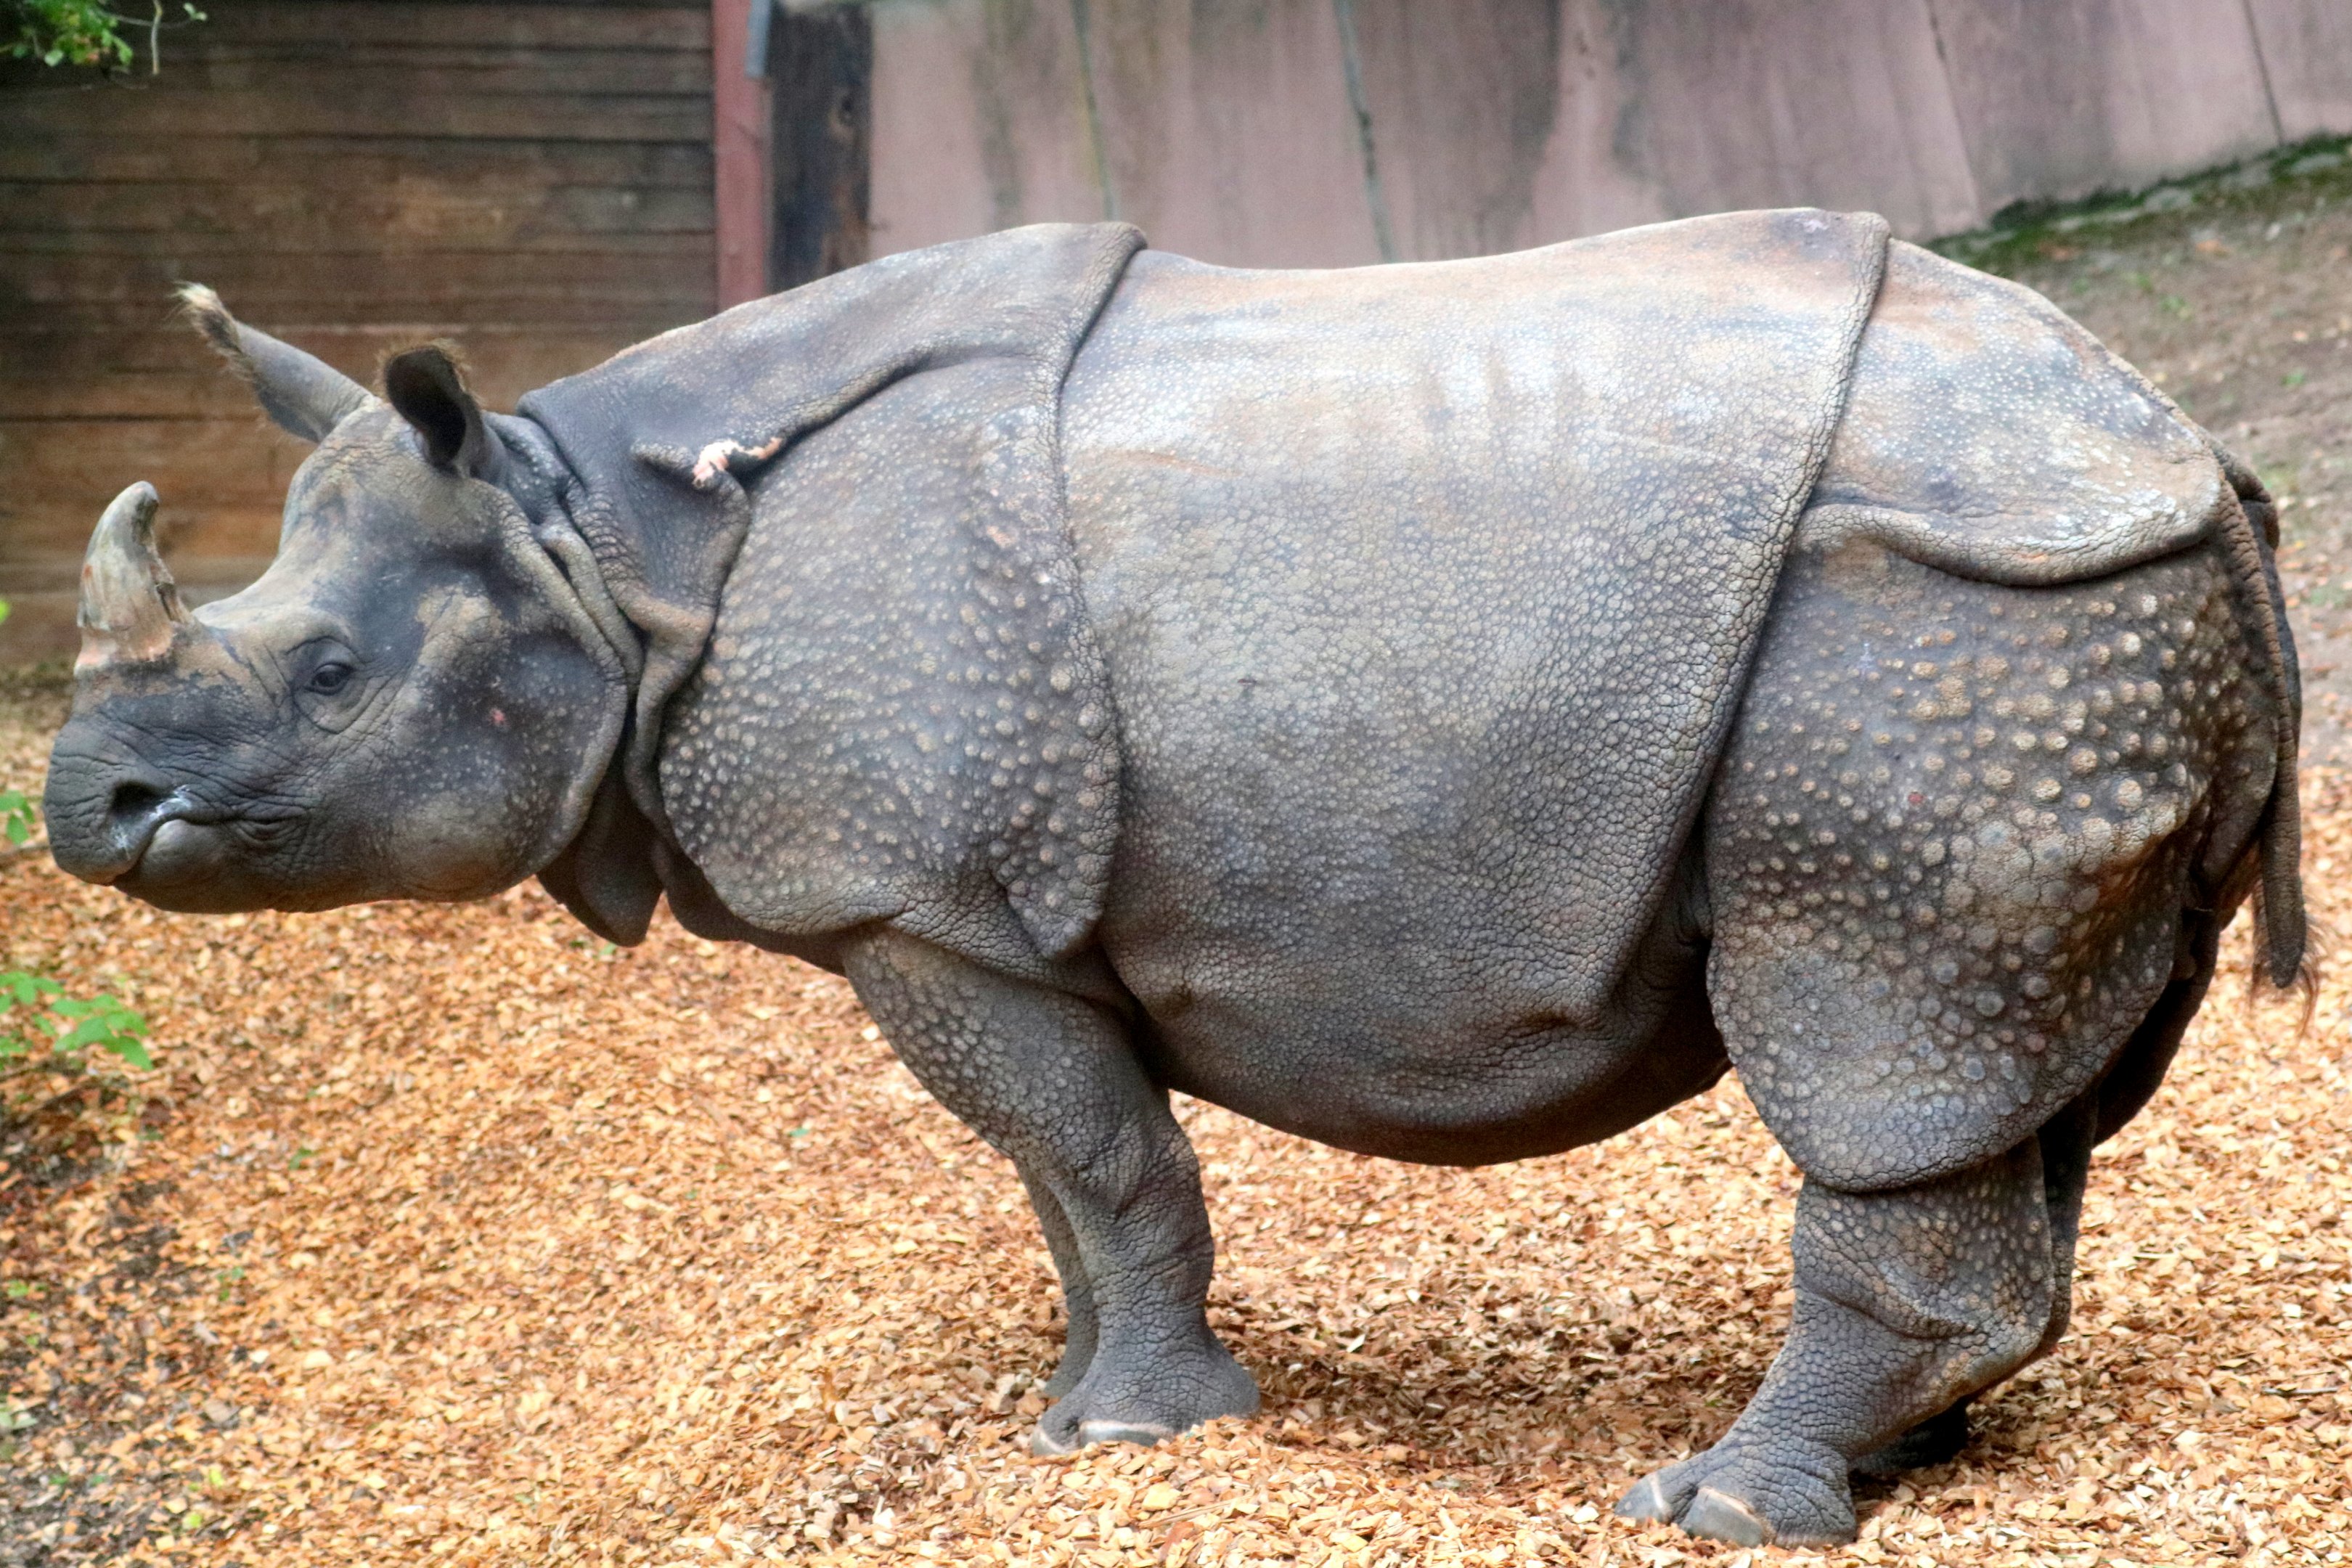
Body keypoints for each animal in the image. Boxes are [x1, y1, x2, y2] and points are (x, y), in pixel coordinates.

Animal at [44, 211, 2302, 1547]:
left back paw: (1718, 1506)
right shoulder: (979, 910)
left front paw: (1136, 1443)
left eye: (326, 676)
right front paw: (1074, 1424)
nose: (88, 807)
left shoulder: (916, 898)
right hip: (2037, 622)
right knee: (2016, 1078)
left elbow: (1101, 1156)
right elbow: (1068, 1180)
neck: (586, 542)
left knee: (1874, 1033)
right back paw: (1904, 1462)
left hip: (1944, 623)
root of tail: (2188, 453)